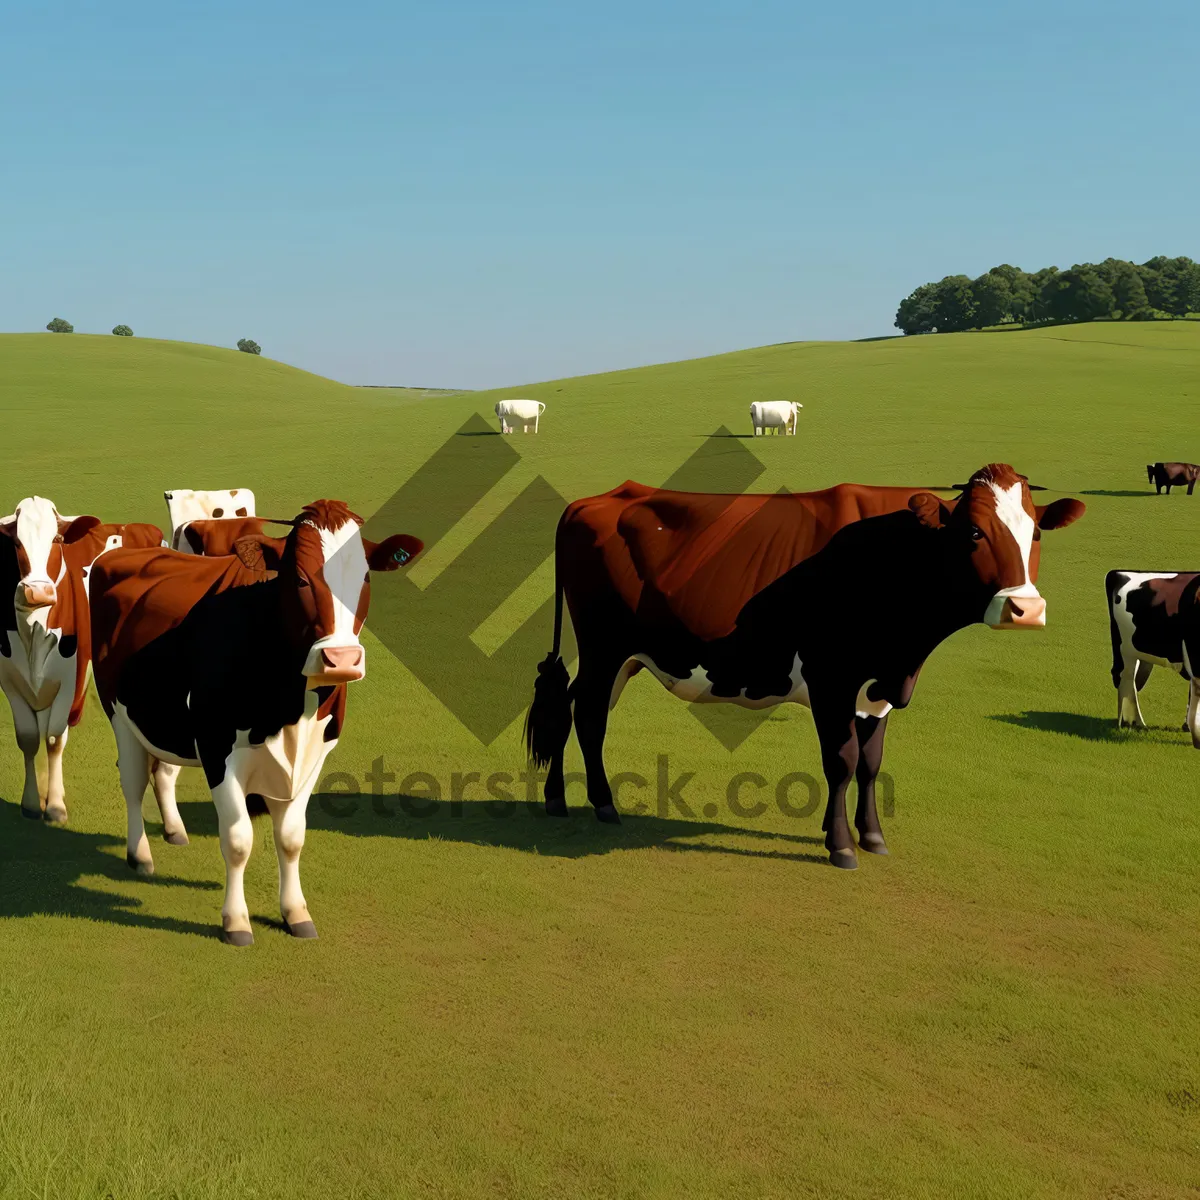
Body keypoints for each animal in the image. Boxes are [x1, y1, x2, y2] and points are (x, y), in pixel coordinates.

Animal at [0, 496, 164, 825]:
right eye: (16, 542)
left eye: (56, 540)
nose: (37, 592)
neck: (34, 633)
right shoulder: (10, 681)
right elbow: (28, 738)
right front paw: (32, 802)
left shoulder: (69, 680)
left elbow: (53, 739)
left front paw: (55, 806)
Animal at [87, 499, 422, 945]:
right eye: (299, 579)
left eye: (364, 577)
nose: (342, 660)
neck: (292, 709)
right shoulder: (217, 749)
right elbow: (238, 839)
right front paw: (236, 922)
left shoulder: (316, 753)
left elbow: (292, 837)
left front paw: (296, 913)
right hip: (119, 712)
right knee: (133, 780)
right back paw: (140, 855)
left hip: (167, 717)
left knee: (164, 771)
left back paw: (175, 830)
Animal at [525, 463, 1089, 868]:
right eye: (973, 532)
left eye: (1036, 534)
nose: (1026, 610)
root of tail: (597, 499)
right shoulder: (831, 679)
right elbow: (840, 760)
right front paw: (840, 847)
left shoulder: (877, 687)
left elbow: (870, 762)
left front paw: (873, 836)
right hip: (604, 646)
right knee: (589, 714)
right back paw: (602, 804)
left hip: (623, 658)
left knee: (574, 706)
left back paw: (557, 798)